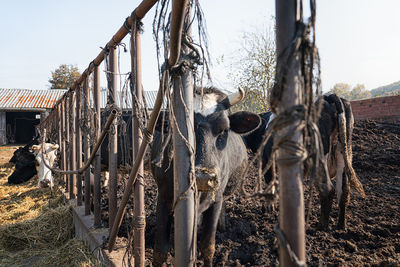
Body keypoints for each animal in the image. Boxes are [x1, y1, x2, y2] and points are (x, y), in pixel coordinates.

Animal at [149, 87, 260, 266]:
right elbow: (160, 250)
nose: (202, 178)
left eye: (224, 129)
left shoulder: (216, 199)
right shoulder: (164, 196)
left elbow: (208, 247)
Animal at [242, 94, 364, 230]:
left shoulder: (267, 162)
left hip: (319, 160)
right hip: (344, 154)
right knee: (344, 191)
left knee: (327, 190)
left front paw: (268, 208)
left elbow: (270, 184)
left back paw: (321, 226)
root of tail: (328, 96)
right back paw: (341, 225)